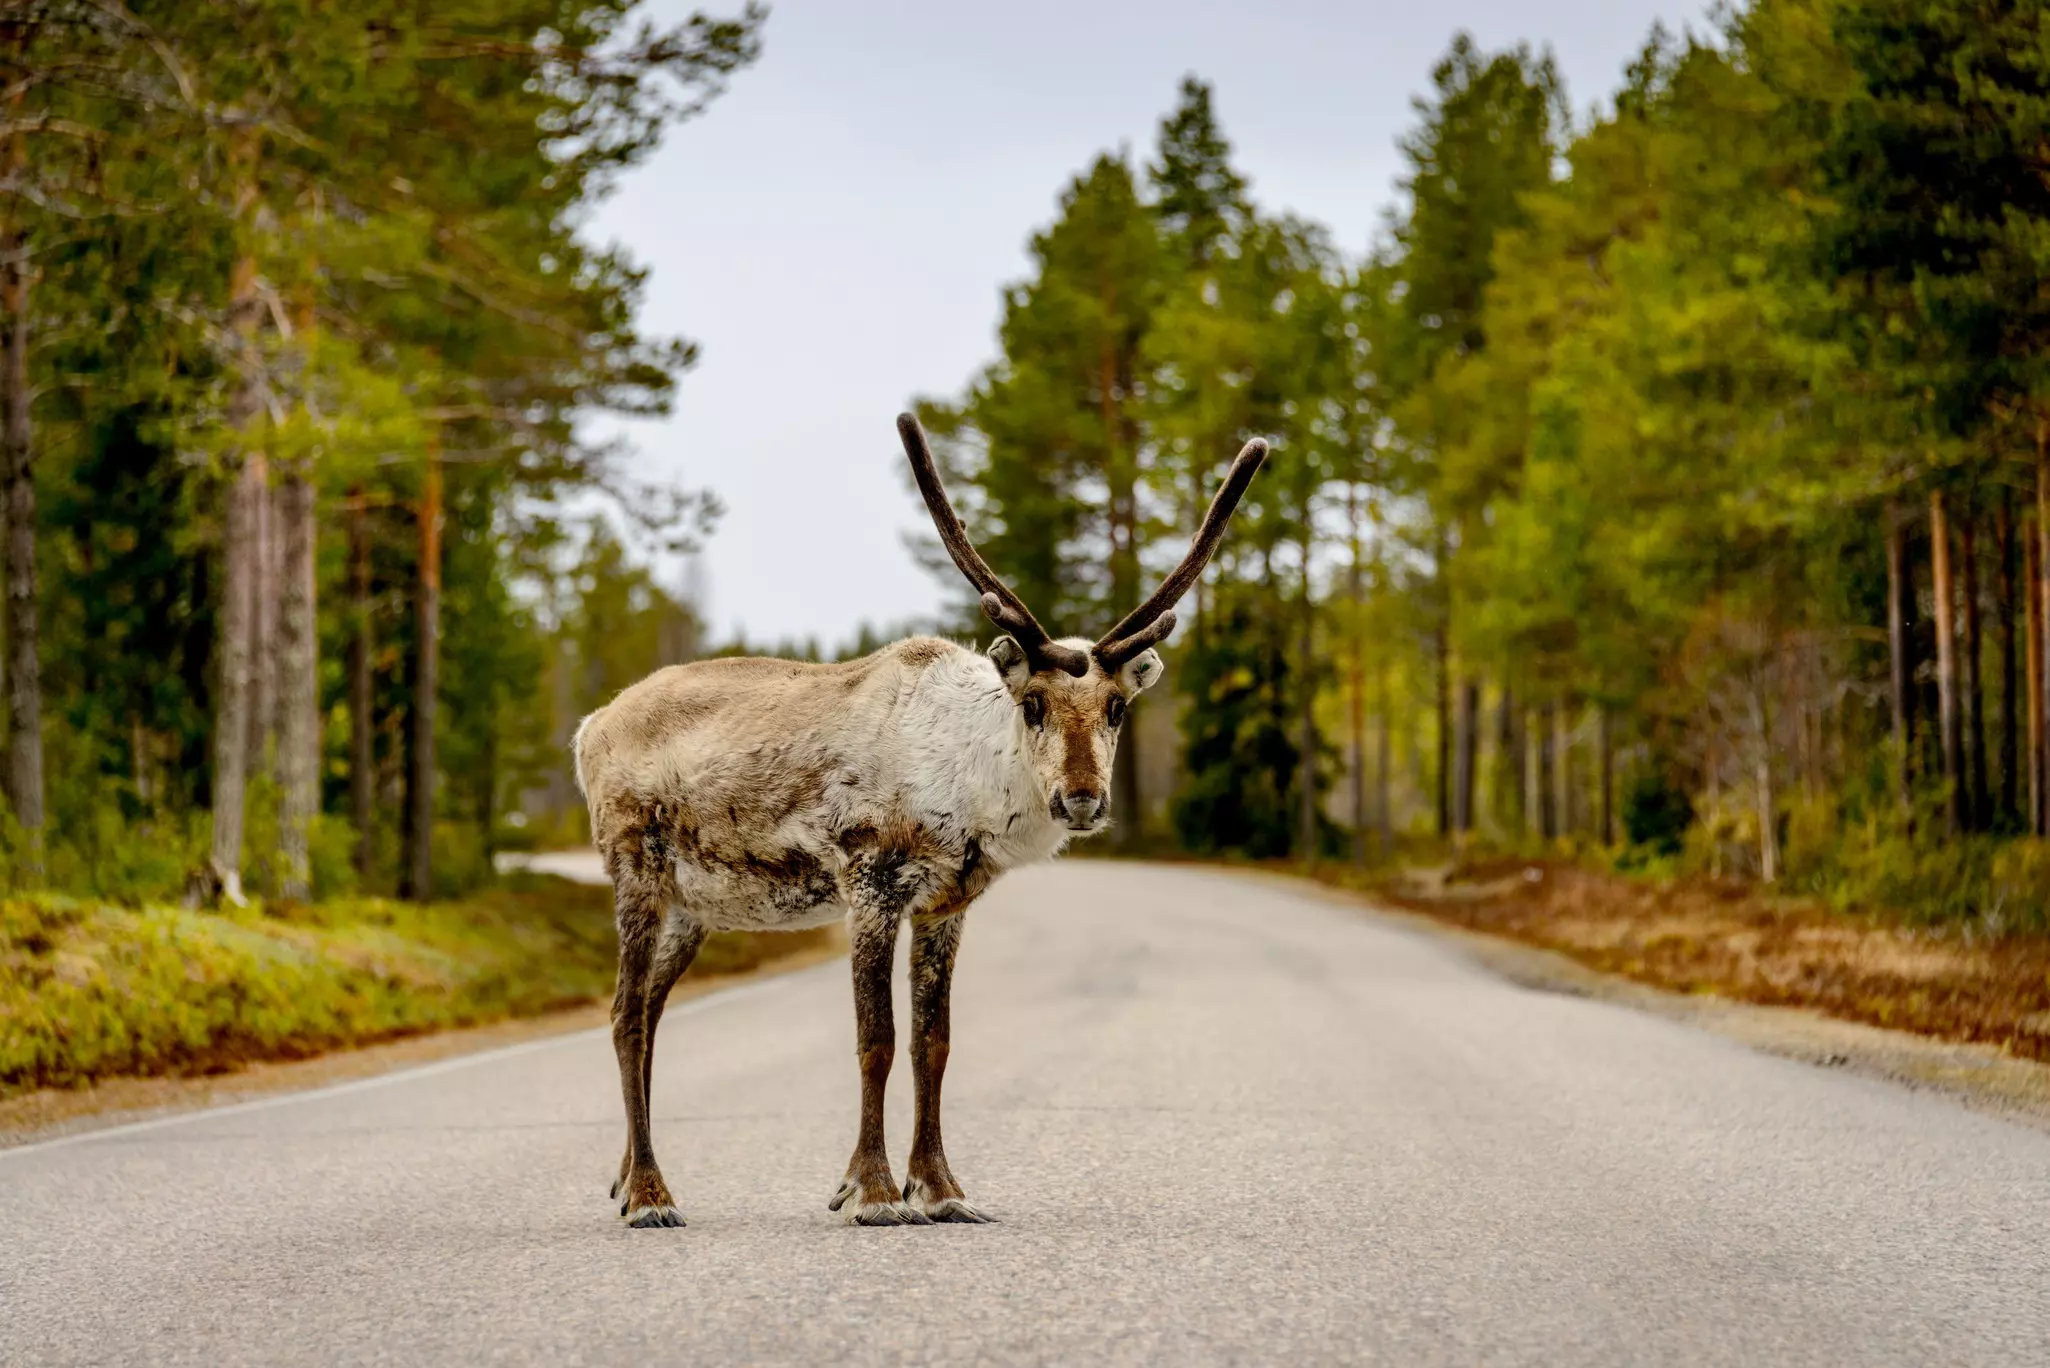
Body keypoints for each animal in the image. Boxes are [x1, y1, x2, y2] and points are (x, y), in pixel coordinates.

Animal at [573, 413, 1267, 1228]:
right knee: (624, 1014)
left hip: (693, 907)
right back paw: (652, 1196)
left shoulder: (946, 904)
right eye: (1033, 703)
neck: (968, 789)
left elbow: (934, 1043)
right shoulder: (870, 882)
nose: (1082, 799)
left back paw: (626, 1180)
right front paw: (871, 1191)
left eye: (1117, 708)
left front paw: (941, 1189)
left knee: (646, 1012)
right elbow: (877, 1037)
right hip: (636, 869)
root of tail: (590, 727)